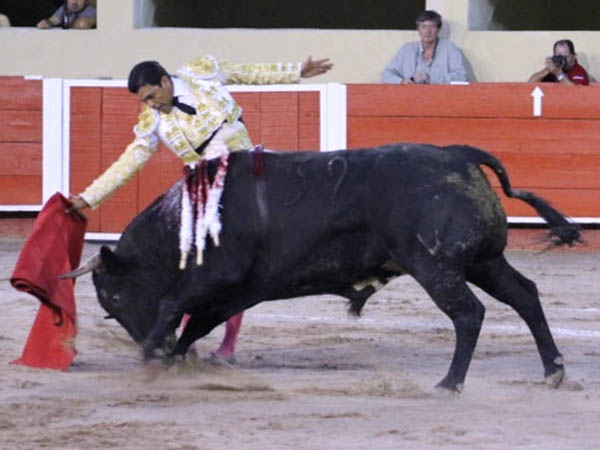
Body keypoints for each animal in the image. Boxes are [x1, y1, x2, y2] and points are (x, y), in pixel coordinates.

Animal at [63, 142, 580, 392]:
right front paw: (174, 359)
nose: (141, 340)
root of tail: (460, 154)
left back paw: (449, 383)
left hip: (436, 266)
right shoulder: (237, 290)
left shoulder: (217, 278)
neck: (183, 223)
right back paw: (552, 370)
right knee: (525, 296)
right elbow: (196, 323)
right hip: (482, 262)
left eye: (113, 297)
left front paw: (154, 357)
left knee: (468, 314)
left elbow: (174, 306)